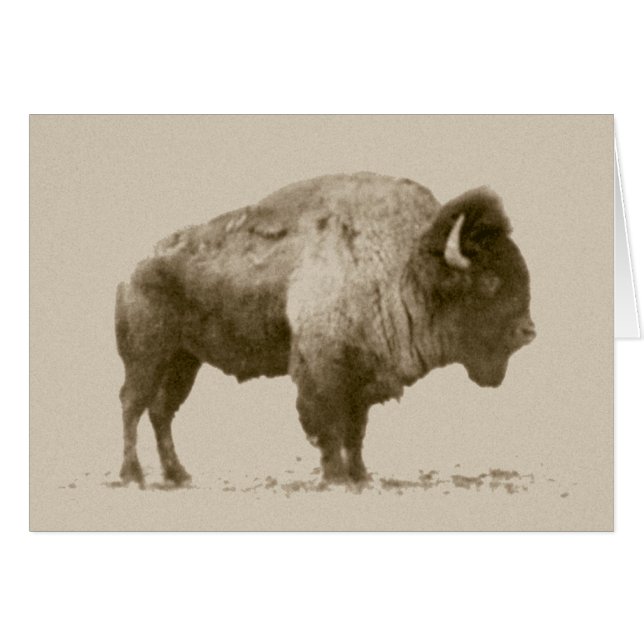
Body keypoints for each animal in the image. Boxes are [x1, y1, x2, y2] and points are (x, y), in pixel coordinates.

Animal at [115, 172, 535, 486]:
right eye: (489, 281)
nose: (528, 331)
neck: (404, 268)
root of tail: (134, 270)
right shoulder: (322, 372)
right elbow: (329, 427)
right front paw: (336, 478)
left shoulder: (362, 380)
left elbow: (356, 431)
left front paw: (361, 476)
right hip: (148, 357)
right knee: (133, 405)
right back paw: (133, 475)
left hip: (184, 361)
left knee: (161, 412)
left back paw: (178, 474)